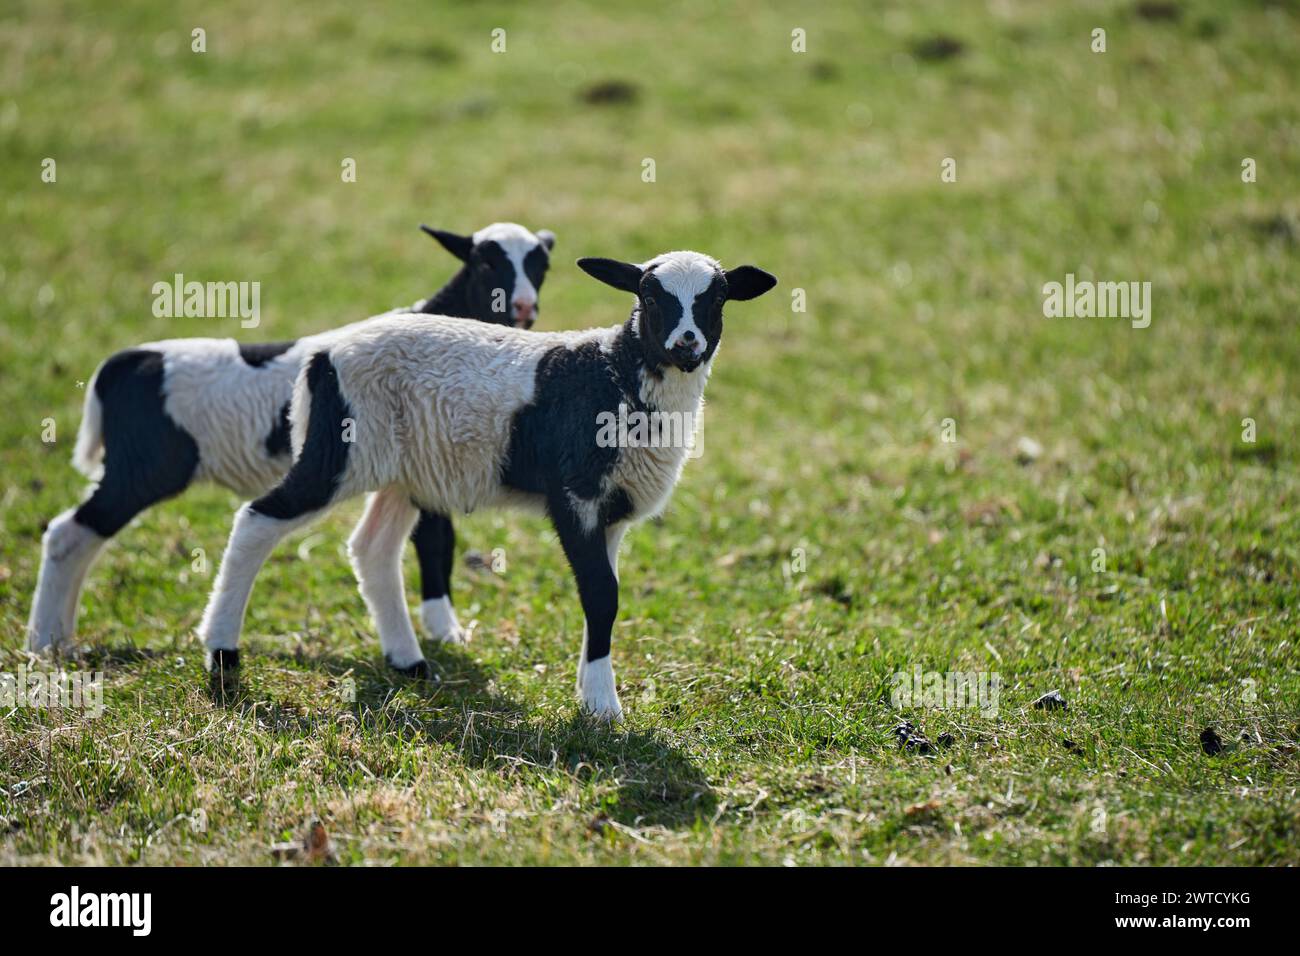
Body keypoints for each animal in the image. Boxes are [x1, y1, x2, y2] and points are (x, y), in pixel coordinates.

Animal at [26, 222, 556, 654]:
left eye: (541, 266)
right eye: (485, 261)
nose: (524, 306)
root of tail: (127, 361)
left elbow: (438, 537)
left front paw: (442, 628)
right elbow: (435, 538)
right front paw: (444, 628)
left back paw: (60, 637)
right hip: (145, 469)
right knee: (69, 533)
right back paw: (44, 642)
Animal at [196, 249, 777, 721]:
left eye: (718, 296)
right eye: (650, 295)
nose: (687, 343)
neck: (618, 371)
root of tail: (323, 355)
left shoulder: (613, 511)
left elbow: (605, 596)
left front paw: (589, 690)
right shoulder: (576, 495)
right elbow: (601, 594)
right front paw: (603, 707)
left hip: (404, 470)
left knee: (372, 548)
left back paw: (407, 660)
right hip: (335, 453)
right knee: (257, 519)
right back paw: (222, 650)